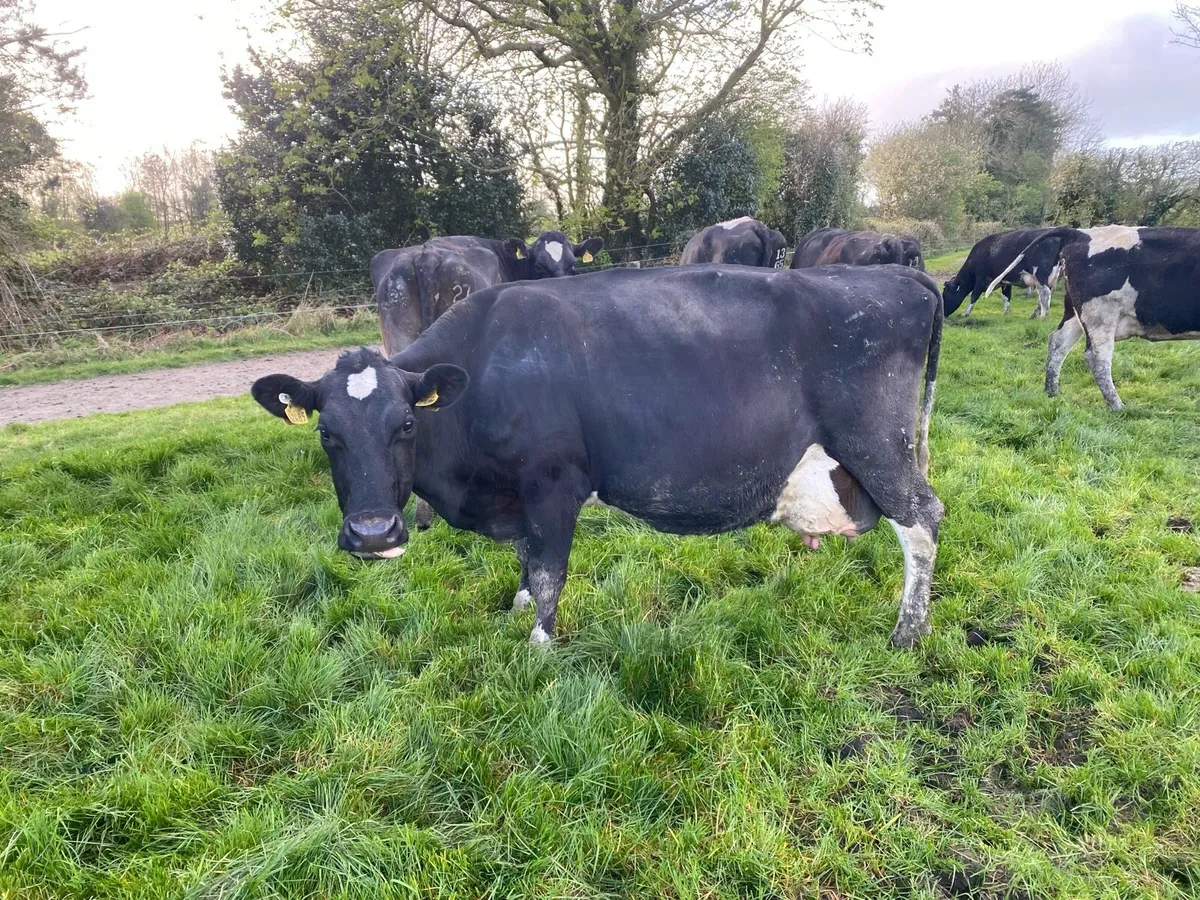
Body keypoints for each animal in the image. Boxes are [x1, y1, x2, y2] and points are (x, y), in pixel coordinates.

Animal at [251, 264, 946, 648]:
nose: (373, 534)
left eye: (404, 425)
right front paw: (515, 610)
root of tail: (901, 275)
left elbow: (548, 570)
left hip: (877, 444)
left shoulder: (554, 482)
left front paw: (537, 645)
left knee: (923, 520)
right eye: (327, 433)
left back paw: (908, 633)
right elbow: (527, 560)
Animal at [984, 225, 1200, 410]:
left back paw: (1052, 392)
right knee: (1097, 357)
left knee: (1057, 341)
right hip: (1101, 313)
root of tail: (1080, 234)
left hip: (1075, 312)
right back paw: (1117, 406)